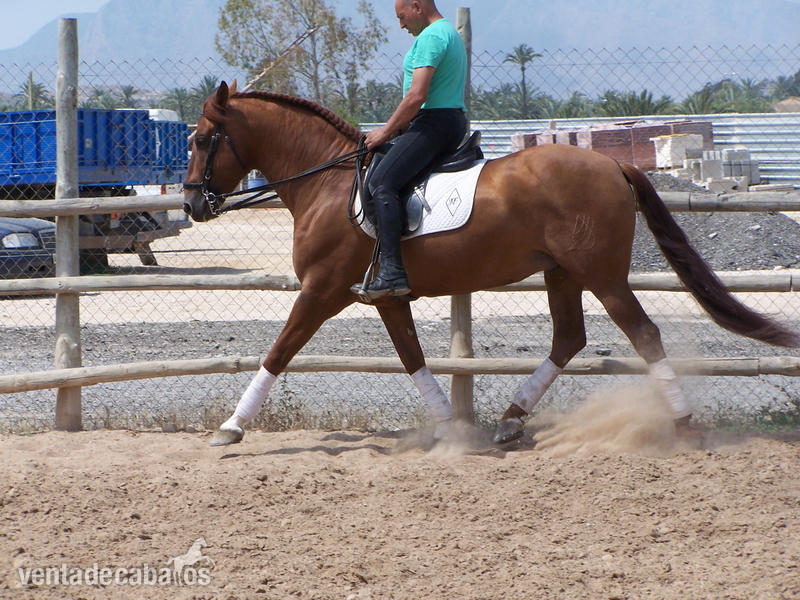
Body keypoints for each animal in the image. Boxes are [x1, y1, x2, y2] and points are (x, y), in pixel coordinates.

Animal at [183, 81, 799, 448]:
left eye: (204, 139)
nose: (191, 205)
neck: (328, 183)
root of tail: (611, 165)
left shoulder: (321, 289)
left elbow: (279, 350)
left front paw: (231, 426)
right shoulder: (385, 296)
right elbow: (411, 357)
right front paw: (451, 428)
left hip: (601, 275)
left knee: (643, 333)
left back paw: (683, 424)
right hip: (561, 273)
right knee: (568, 339)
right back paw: (509, 419)